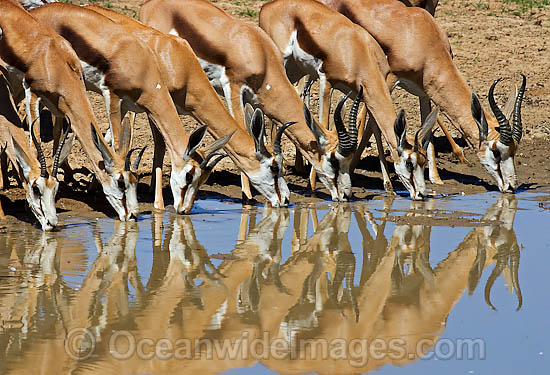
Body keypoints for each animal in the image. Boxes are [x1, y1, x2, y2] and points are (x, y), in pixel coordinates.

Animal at [0, 0, 142, 222]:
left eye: (136, 181)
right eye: (121, 182)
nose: (133, 215)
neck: (54, 61)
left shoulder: (58, 105)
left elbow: (59, 135)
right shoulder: (32, 93)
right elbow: (36, 142)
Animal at [140, 0, 366, 201]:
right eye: (334, 160)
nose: (346, 195)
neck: (260, 53)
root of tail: (148, 5)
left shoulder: (254, 101)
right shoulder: (233, 88)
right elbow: (243, 131)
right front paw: (247, 196)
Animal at [260, 0, 444, 200]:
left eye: (423, 162)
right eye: (409, 163)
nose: (421, 194)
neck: (357, 52)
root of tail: (268, 6)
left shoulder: (363, 94)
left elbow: (375, 128)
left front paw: (388, 186)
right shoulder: (326, 82)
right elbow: (323, 124)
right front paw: (312, 184)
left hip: (294, 69)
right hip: (282, 65)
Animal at [322, 0, 528, 194]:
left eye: (514, 151)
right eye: (496, 152)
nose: (511, 186)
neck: (422, 38)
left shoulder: (424, 90)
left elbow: (427, 127)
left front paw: (436, 178)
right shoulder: (386, 82)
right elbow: (374, 125)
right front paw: (362, 171)